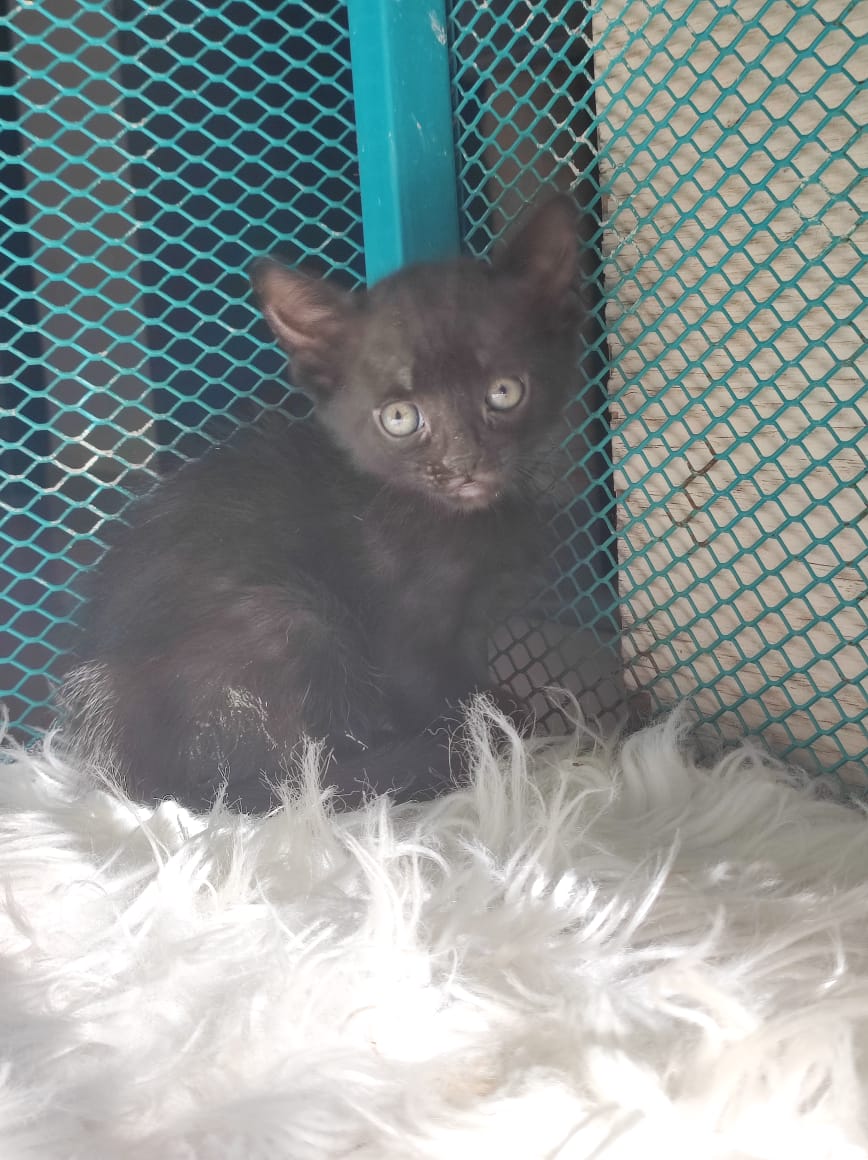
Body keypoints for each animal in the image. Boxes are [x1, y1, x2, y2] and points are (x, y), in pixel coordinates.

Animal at [59, 193, 582, 811]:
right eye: (399, 417)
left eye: (504, 392)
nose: (464, 464)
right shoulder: (404, 633)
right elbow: (437, 692)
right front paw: (486, 723)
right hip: (291, 621)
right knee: (303, 768)